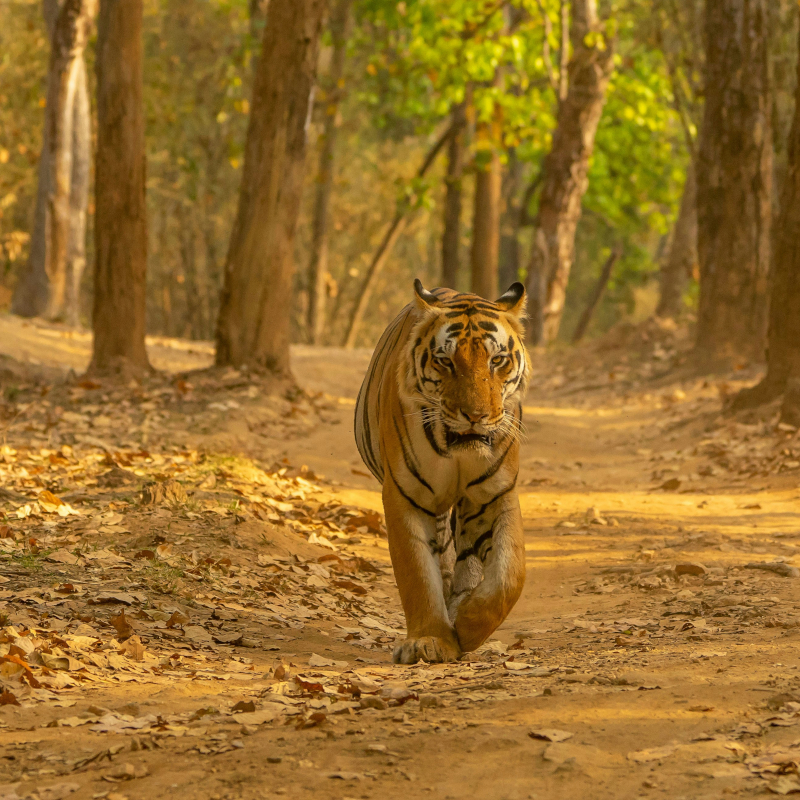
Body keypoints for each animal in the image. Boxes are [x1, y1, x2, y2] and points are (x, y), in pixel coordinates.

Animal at [355, 279, 531, 664]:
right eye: (445, 361)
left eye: (497, 360)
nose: (476, 416)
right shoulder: (406, 495)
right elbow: (417, 573)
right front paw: (430, 640)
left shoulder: (495, 494)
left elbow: (510, 575)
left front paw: (467, 624)